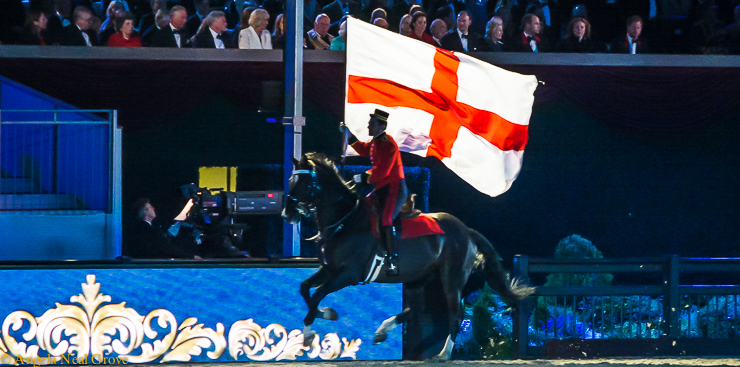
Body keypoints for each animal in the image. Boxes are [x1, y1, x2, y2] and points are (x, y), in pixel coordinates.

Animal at [280, 153, 528, 362]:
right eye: (291, 179)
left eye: (303, 182)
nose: (287, 214)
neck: (345, 220)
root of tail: (466, 230)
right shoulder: (329, 270)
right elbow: (305, 289)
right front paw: (322, 318)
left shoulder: (348, 275)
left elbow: (318, 294)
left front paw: (310, 334)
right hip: (416, 278)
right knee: (414, 310)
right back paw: (382, 331)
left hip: (451, 279)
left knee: (456, 314)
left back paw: (442, 354)